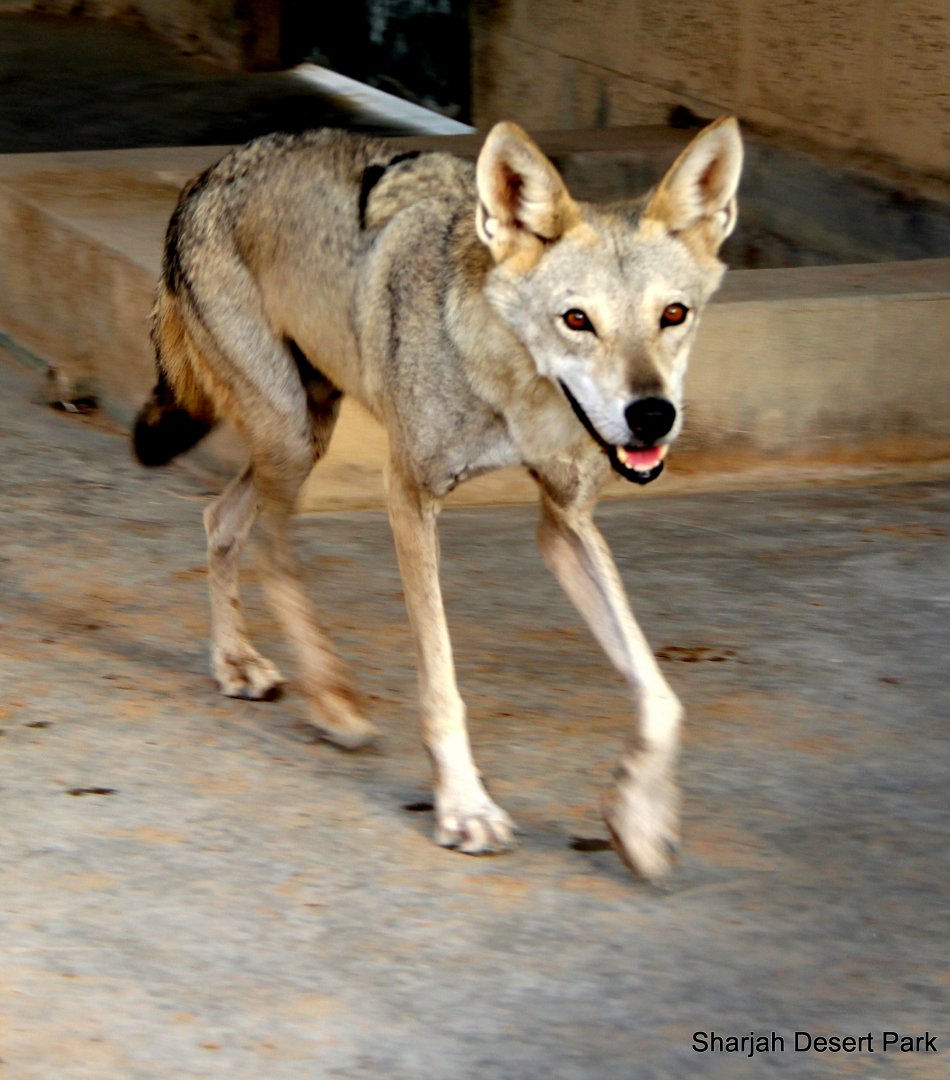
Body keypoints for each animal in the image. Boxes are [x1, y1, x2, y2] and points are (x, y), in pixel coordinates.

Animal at [133, 117, 743, 880]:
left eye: (673, 314)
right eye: (577, 320)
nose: (652, 416)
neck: (510, 385)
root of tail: (208, 173)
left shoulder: (564, 522)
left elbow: (661, 697)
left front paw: (641, 816)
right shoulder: (409, 496)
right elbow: (443, 684)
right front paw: (465, 807)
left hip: (306, 430)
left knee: (220, 518)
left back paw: (236, 661)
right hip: (292, 437)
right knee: (271, 550)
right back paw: (330, 700)